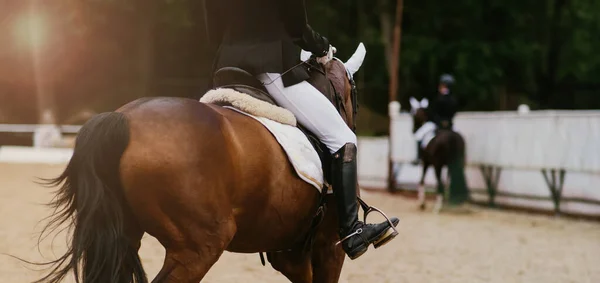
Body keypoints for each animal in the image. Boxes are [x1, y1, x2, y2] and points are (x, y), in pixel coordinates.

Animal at [35, 45, 386, 283]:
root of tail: (122, 118)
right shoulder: (329, 247)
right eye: (353, 94)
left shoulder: (290, 251)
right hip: (199, 245)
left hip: (126, 235)